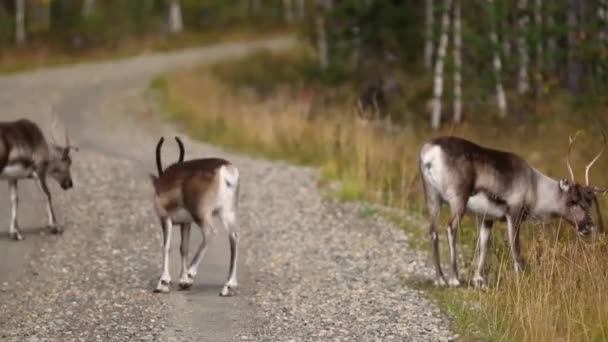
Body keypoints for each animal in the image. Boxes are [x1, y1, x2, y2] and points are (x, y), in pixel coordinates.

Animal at [150, 137, 240, 296]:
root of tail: (224, 170)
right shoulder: (186, 223)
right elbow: (183, 248)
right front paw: (181, 281)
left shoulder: (165, 219)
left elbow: (166, 246)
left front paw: (163, 283)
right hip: (226, 213)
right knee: (234, 237)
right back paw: (228, 286)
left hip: (202, 215)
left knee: (210, 233)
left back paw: (190, 275)